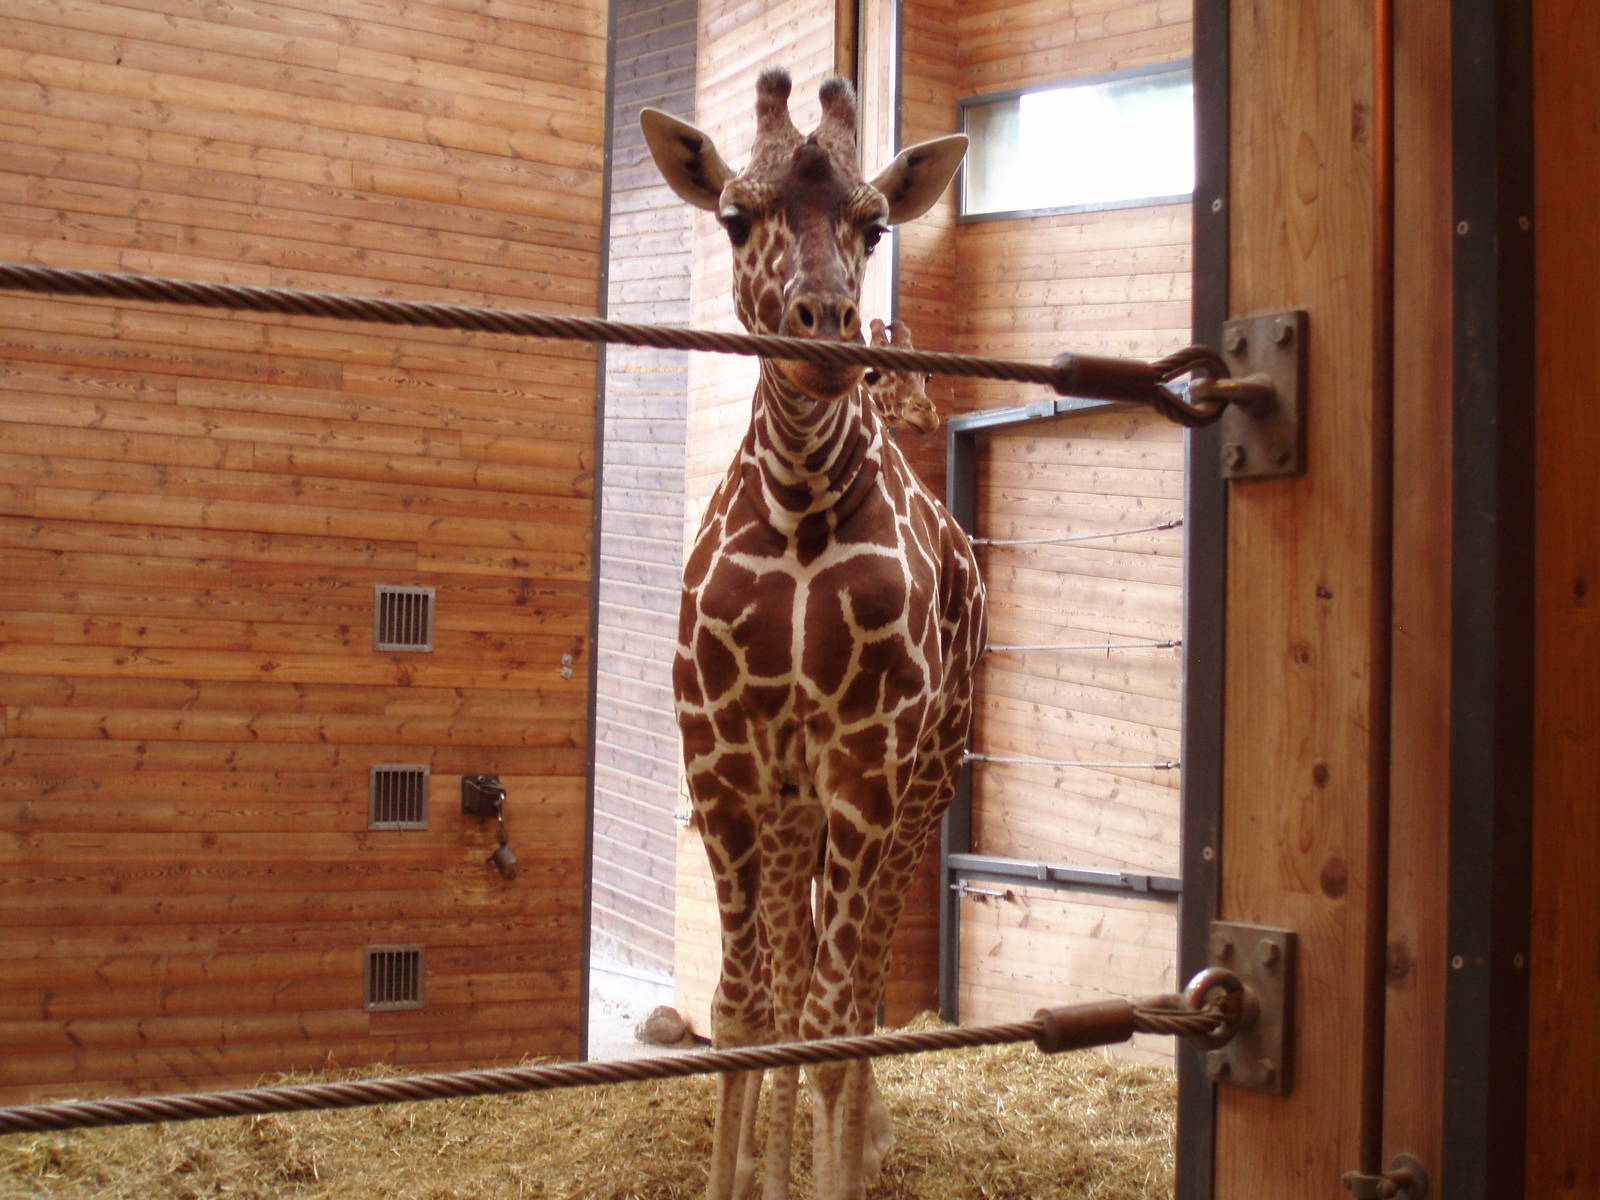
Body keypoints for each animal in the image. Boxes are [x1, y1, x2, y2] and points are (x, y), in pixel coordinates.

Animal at [641, 69, 985, 1200]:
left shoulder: (867, 764)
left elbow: (835, 1020)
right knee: (791, 982)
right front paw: (747, 1171)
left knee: (859, 974)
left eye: (874, 226)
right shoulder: (723, 760)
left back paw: (864, 1145)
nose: (825, 322)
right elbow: (748, 1009)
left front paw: (833, 1160)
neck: (796, 510)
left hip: (923, 786)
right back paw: (774, 1164)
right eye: (735, 216)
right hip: (797, 803)